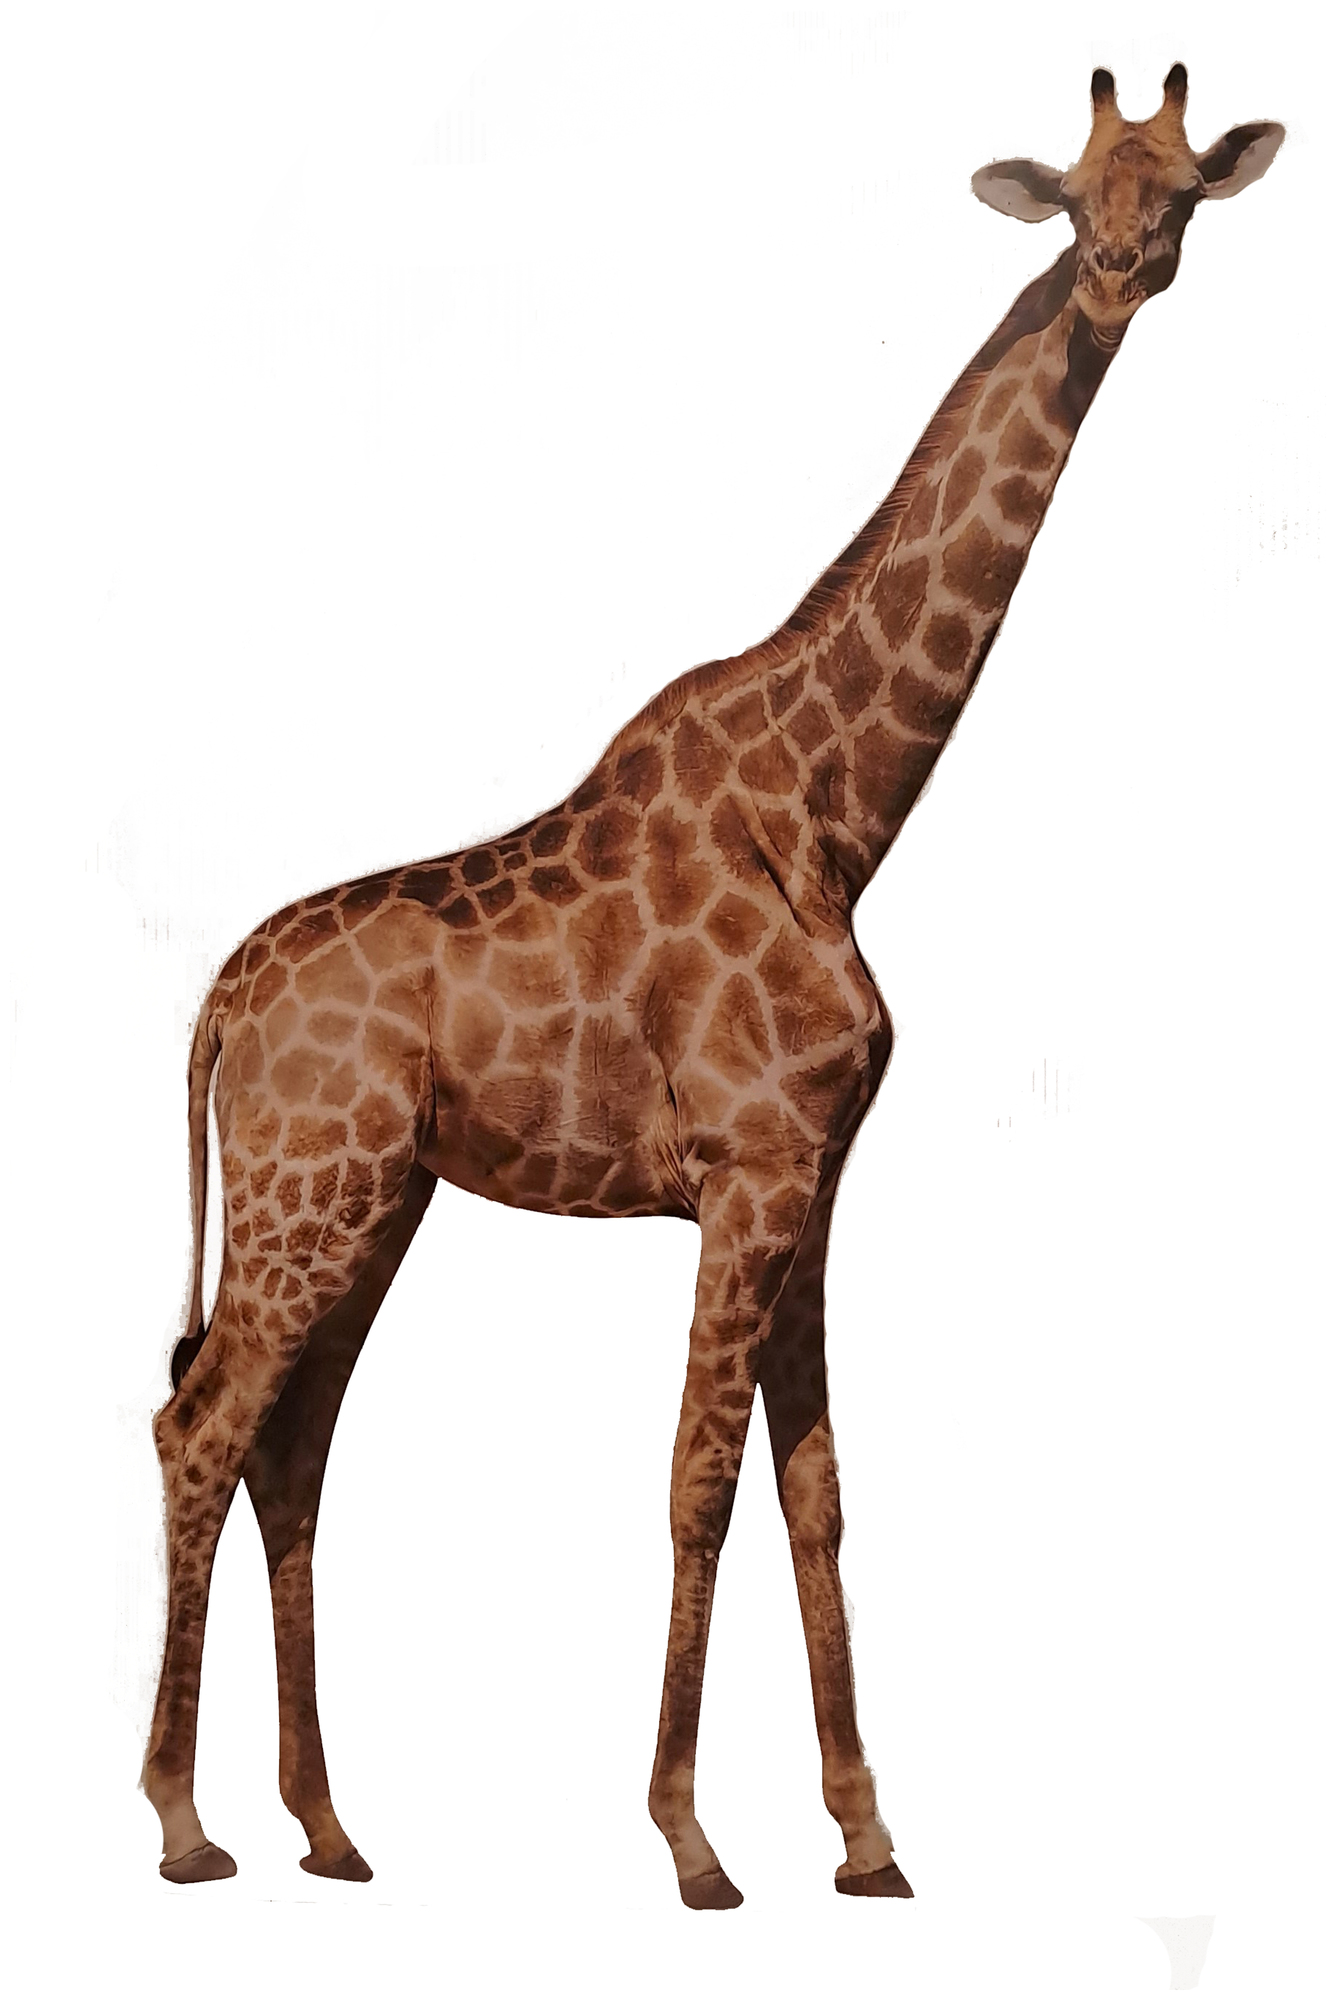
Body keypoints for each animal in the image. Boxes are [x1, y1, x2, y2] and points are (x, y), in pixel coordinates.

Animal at [145, 68, 1284, 1906]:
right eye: (1069, 193)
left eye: (1178, 189)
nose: (1115, 275)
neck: (838, 816)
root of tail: (220, 1007)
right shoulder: (747, 1170)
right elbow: (699, 1485)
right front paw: (691, 1841)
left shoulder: (808, 1180)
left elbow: (816, 1490)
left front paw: (869, 1838)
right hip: (311, 1190)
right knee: (203, 1427)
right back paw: (185, 1826)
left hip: (375, 1199)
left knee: (288, 1445)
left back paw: (325, 1825)